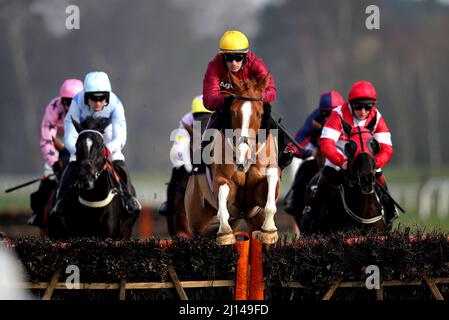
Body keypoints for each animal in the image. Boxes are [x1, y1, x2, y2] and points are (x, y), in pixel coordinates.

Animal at [184, 74, 278, 245]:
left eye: (259, 114)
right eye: (233, 113)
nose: (243, 157)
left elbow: (272, 177)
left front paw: (269, 230)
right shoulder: (223, 181)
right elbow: (223, 192)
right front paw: (225, 234)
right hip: (196, 222)